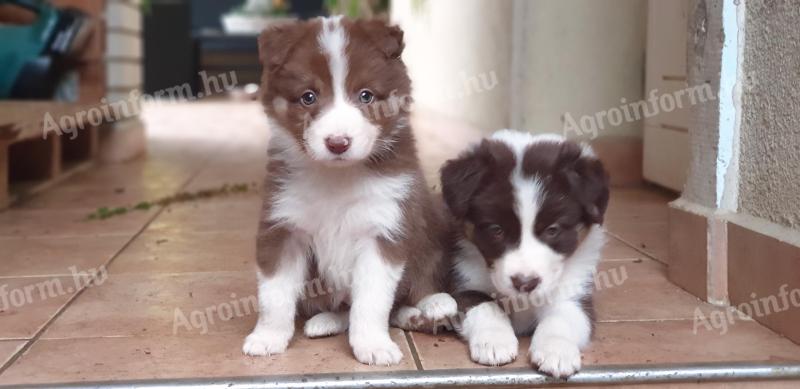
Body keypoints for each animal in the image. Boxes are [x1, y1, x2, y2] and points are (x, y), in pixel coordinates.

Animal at [242, 16, 456, 366]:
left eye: (366, 96)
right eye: (308, 97)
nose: (338, 143)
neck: (337, 178)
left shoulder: (384, 228)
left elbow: (371, 300)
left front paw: (373, 344)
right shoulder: (283, 224)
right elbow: (275, 294)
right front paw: (267, 337)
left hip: (432, 225)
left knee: (420, 283)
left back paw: (434, 305)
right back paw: (325, 321)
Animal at [440, 130, 608, 376]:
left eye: (552, 230)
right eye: (496, 230)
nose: (525, 283)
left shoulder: (576, 293)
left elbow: (561, 318)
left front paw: (556, 351)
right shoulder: (464, 282)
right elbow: (487, 306)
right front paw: (495, 342)